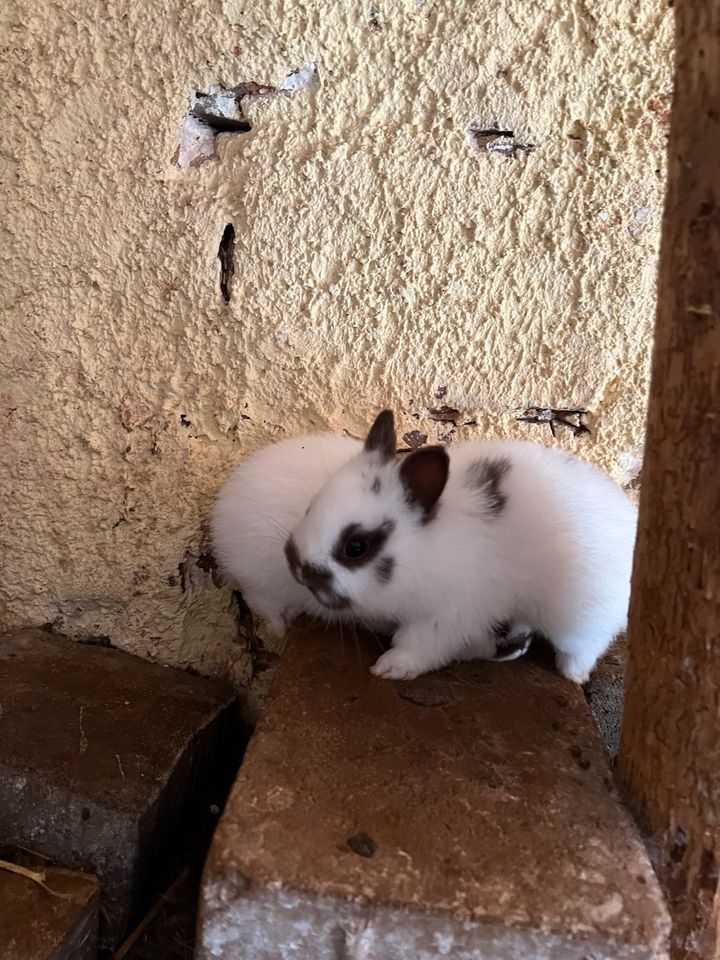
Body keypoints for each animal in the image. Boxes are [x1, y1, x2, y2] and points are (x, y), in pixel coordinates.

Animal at [286, 408, 636, 688]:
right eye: (310, 508)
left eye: (356, 547)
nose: (299, 569)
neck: (424, 551)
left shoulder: (445, 617)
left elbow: (419, 647)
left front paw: (389, 669)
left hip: (581, 620)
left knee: (583, 647)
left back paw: (573, 675)